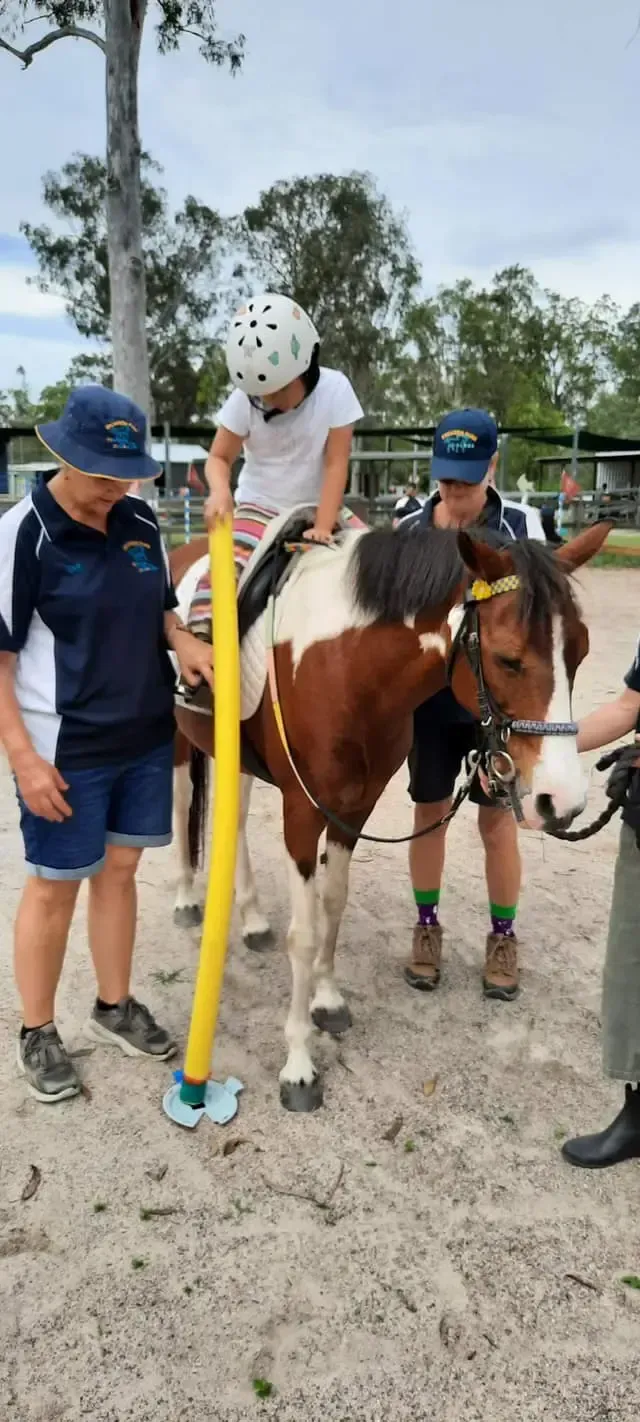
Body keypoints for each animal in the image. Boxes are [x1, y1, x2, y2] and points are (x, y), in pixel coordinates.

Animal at [170, 516, 609, 1112]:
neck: (342, 665)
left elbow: (333, 903)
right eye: (509, 658)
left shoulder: (354, 807)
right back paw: (187, 898)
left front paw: (327, 1001)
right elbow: (304, 934)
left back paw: (253, 918)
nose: (562, 803)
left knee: (232, 820)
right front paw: (298, 1066)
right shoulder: (301, 811)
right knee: (181, 807)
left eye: (579, 653)